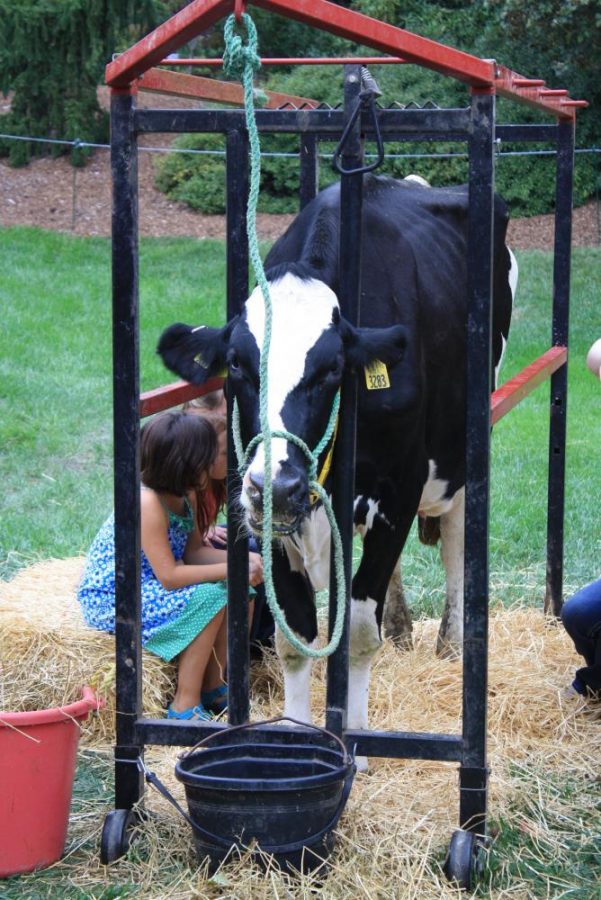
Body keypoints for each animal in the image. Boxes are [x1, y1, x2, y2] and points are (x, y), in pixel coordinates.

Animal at [158, 174, 516, 752]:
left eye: (331, 369)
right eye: (235, 363)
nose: (279, 483)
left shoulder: (399, 491)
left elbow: (360, 634)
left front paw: (359, 740)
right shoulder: (267, 514)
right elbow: (297, 637)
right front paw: (299, 735)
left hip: (463, 450)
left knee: (456, 542)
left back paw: (451, 642)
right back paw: (404, 625)